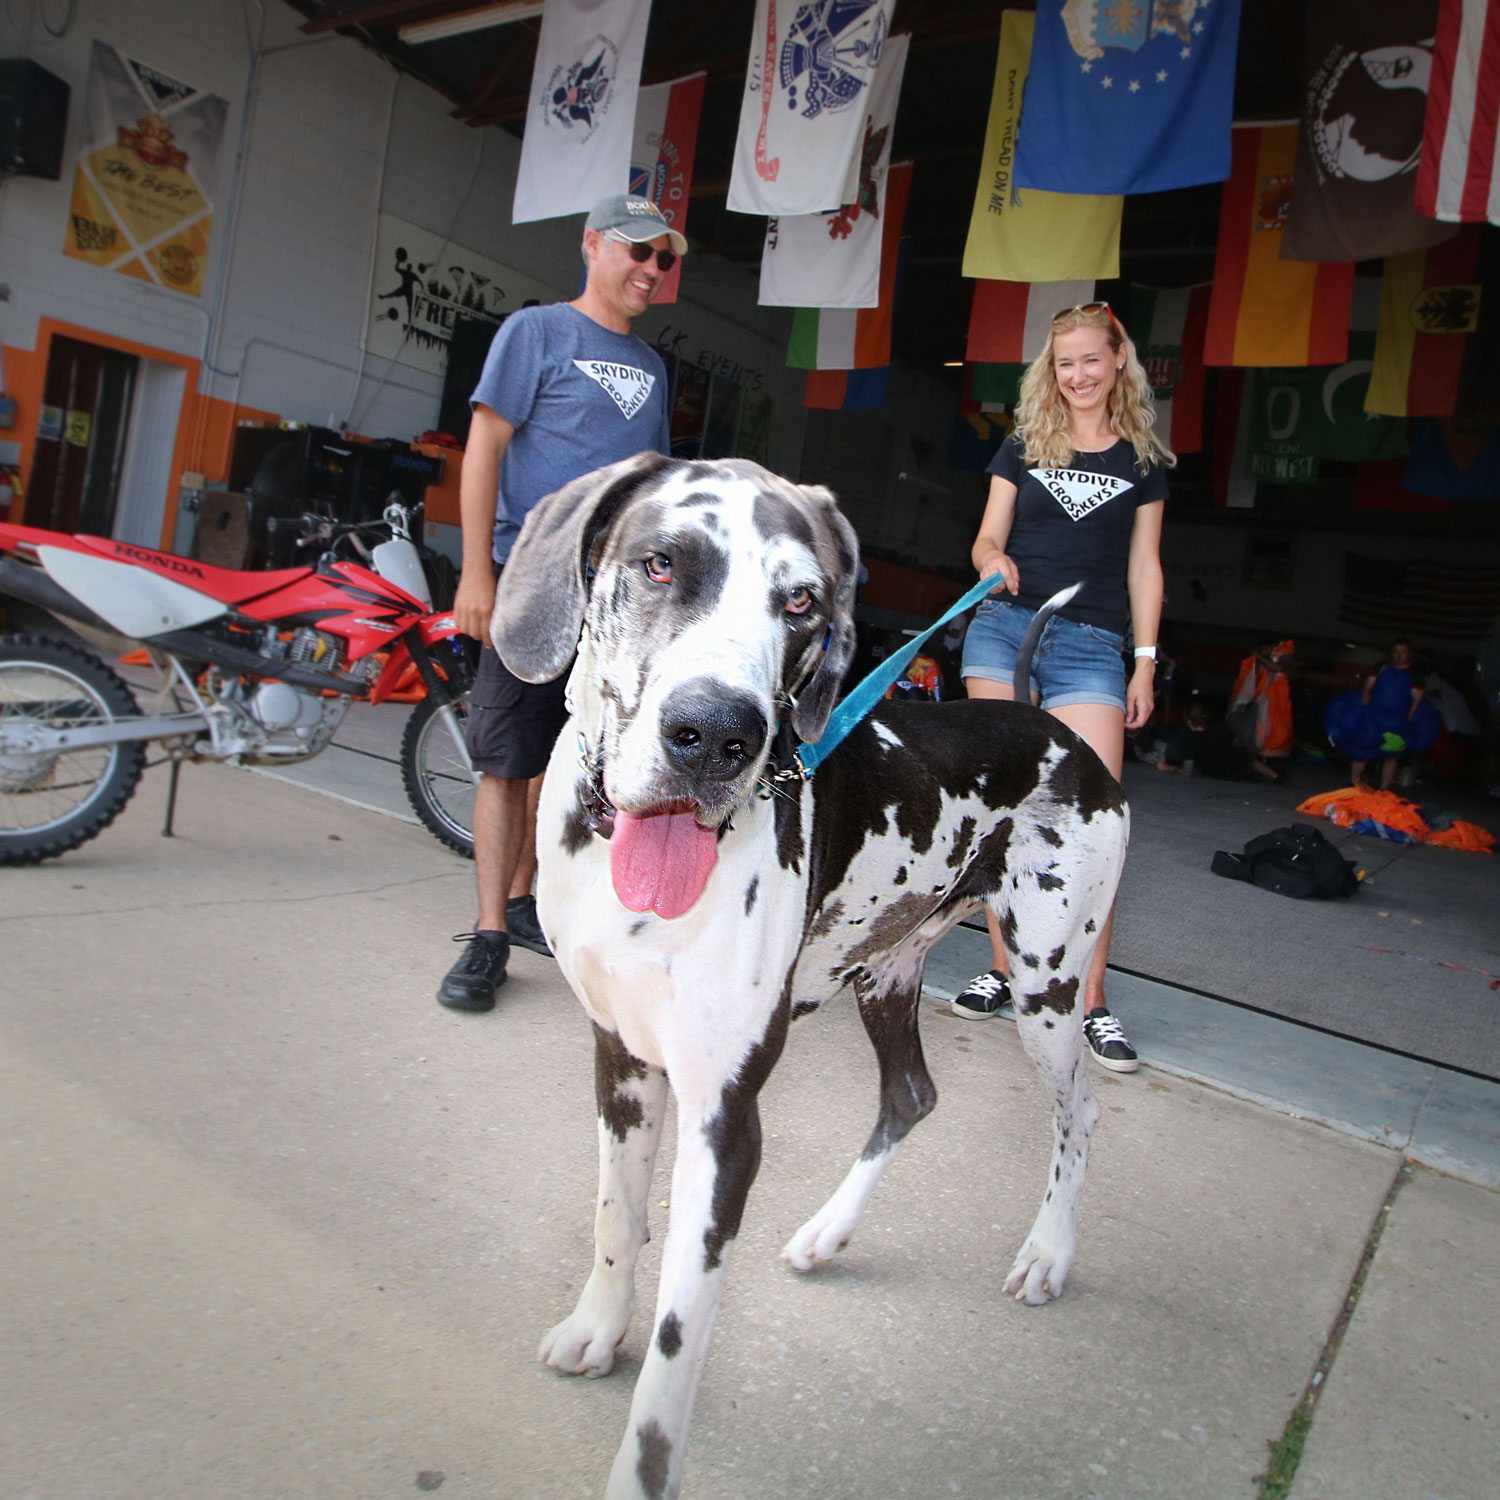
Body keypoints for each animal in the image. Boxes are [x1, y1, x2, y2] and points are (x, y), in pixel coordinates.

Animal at [492, 450, 1128, 1494]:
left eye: (802, 602)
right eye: (661, 562)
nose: (716, 736)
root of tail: (1053, 727)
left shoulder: (726, 1122)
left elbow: (674, 1357)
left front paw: (639, 1460)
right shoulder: (622, 1061)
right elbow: (616, 1221)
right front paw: (596, 1327)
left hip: (1046, 986)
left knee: (1078, 1110)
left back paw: (1050, 1252)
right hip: (887, 973)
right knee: (911, 1095)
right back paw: (829, 1232)